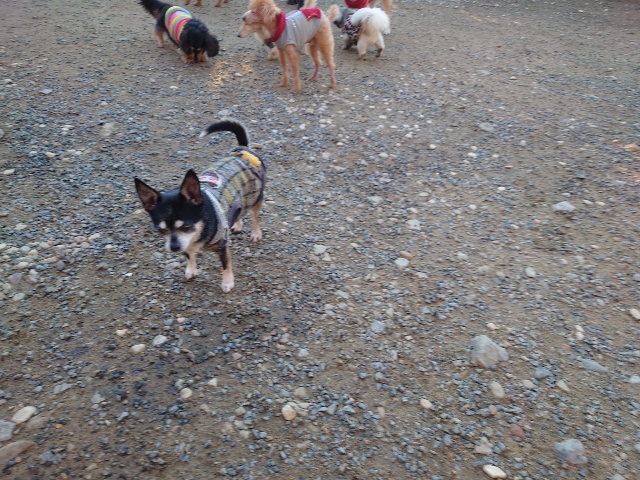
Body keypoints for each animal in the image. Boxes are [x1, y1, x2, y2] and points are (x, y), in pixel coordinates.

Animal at [134, 119, 266, 293]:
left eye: (186, 227)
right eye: (161, 230)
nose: (174, 247)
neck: (200, 231)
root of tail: (242, 150)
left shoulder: (223, 246)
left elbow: (226, 265)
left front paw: (227, 282)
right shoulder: (186, 245)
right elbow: (189, 255)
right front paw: (191, 269)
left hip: (256, 197)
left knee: (255, 217)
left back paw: (256, 233)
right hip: (242, 197)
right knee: (240, 210)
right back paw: (237, 223)